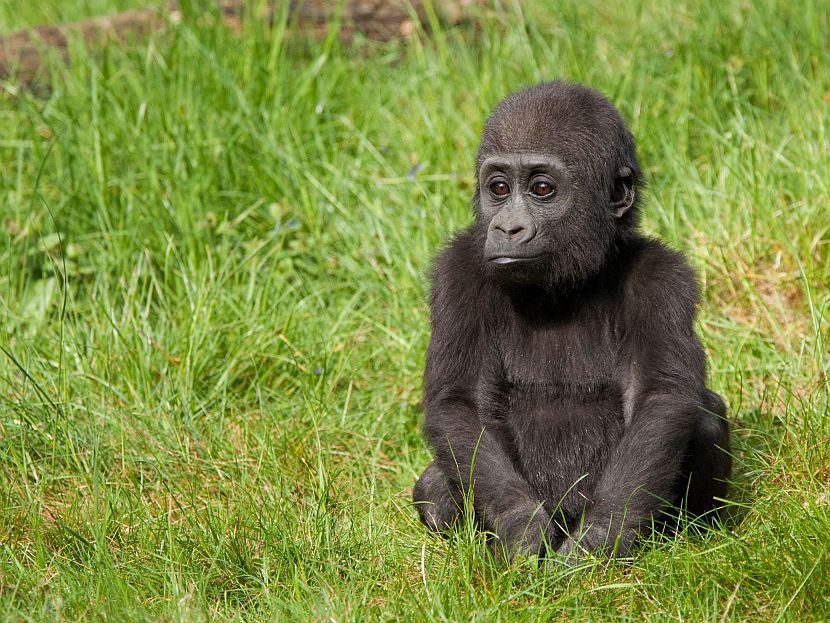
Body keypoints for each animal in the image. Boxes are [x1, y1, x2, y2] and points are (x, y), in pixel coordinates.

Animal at [412, 80, 732, 564]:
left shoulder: (663, 278)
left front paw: (599, 538)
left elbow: (661, 398)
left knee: (705, 415)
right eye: (499, 188)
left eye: (542, 189)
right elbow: (460, 403)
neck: (570, 281)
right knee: (433, 485)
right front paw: (521, 527)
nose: (507, 228)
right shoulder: (458, 273)